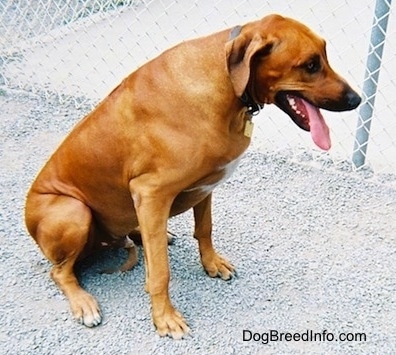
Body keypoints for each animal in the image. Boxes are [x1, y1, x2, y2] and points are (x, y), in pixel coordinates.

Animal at [24, 15, 358, 340]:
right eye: (311, 65)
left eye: (324, 56)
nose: (356, 100)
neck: (225, 81)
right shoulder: (150, 192)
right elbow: (161, 271)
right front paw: (164, 318)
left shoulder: (204, 186)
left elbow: (205, 229)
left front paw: (212, 264)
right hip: (73, 211)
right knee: (60, 271)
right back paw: (84, 302)